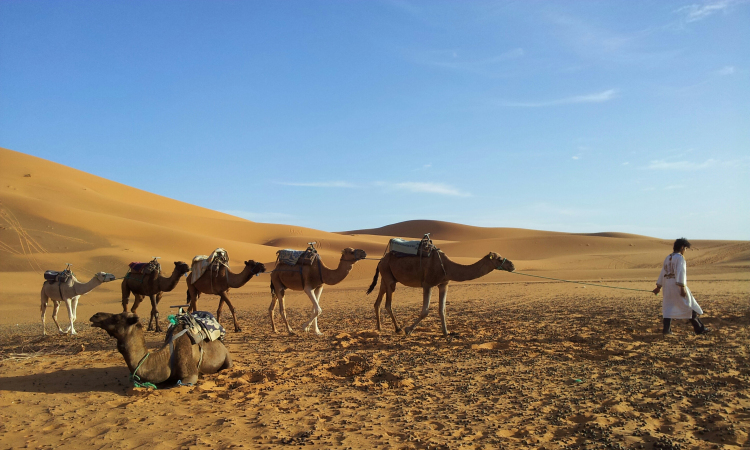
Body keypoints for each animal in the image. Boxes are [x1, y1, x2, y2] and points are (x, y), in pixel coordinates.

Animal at [366, 251, 516, 336]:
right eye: (499, 258)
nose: (512, 265)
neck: (448, 267)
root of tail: (381, 260)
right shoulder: (428, 284)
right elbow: (425, 312)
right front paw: (408, 330)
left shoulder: (444, 284)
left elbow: (442, 309)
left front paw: (446, 332)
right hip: (389, 276)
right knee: (388, 304)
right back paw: (397, 329)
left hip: (386, 275)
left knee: (377, 301)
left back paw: (379, 328)